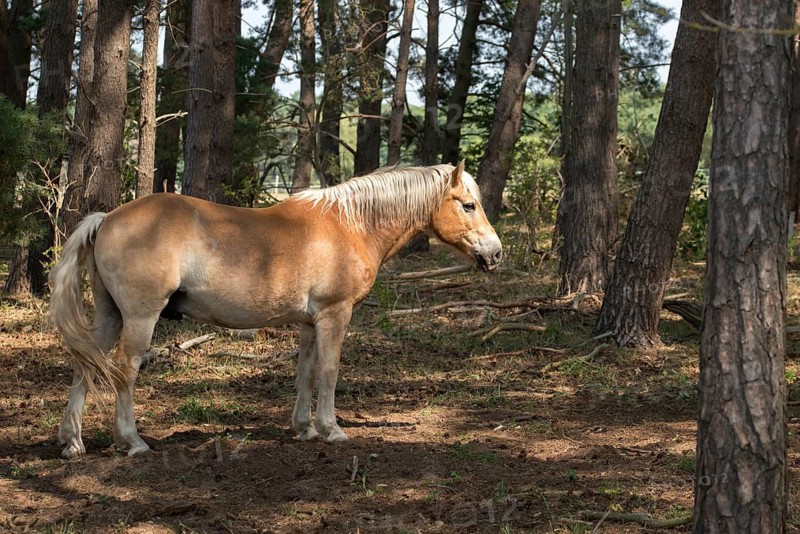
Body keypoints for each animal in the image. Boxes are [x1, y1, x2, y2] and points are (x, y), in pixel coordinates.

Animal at [48, 162, 502, 458]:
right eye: (468, 205)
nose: (495, 253)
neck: (350, 225)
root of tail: (107, 219)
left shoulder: (310, 322)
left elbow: (306, 372)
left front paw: (304, 428)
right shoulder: (335, 315)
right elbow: (329, 371)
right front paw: (331, 429)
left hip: (110, 317)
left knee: (85, 364)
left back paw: (73, 442)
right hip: (141, 318)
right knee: (124, 371)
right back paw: (133, 442)